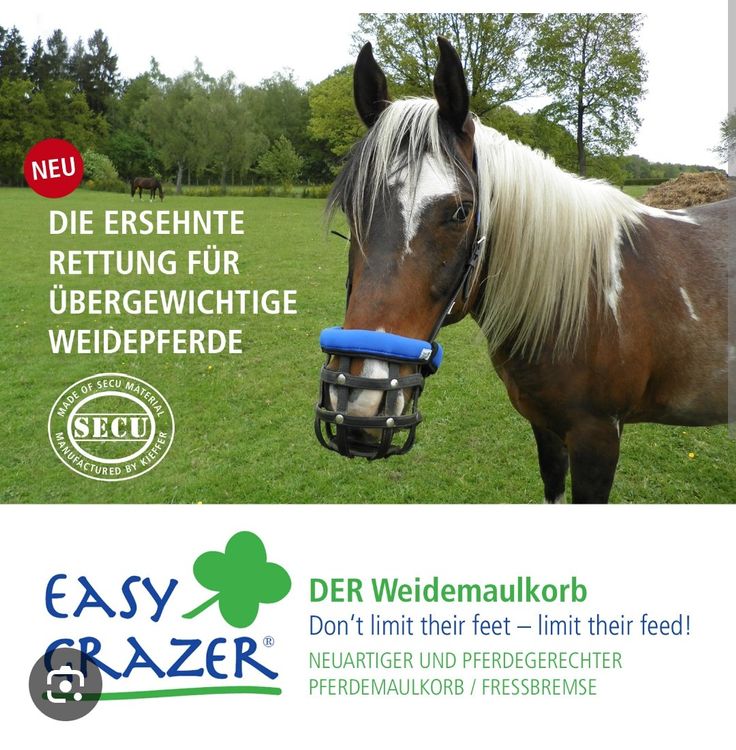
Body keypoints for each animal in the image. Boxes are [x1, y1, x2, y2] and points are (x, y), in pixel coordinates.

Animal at [314, 36, 733, 504]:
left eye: (461, 212)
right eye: (351, 207)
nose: (358, 400)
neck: (584, 300)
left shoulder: (598, 439)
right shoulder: (545, 426)